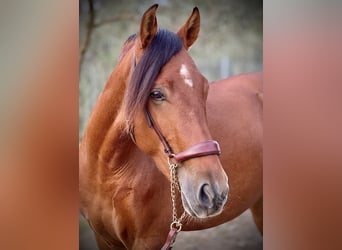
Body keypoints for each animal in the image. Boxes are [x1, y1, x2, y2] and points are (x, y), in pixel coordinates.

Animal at [79, 4, 262, 250]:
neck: (107, 174)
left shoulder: (149, 240)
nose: (214, 191)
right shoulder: (104, 239)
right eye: (156, 93)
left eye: (205, 89)